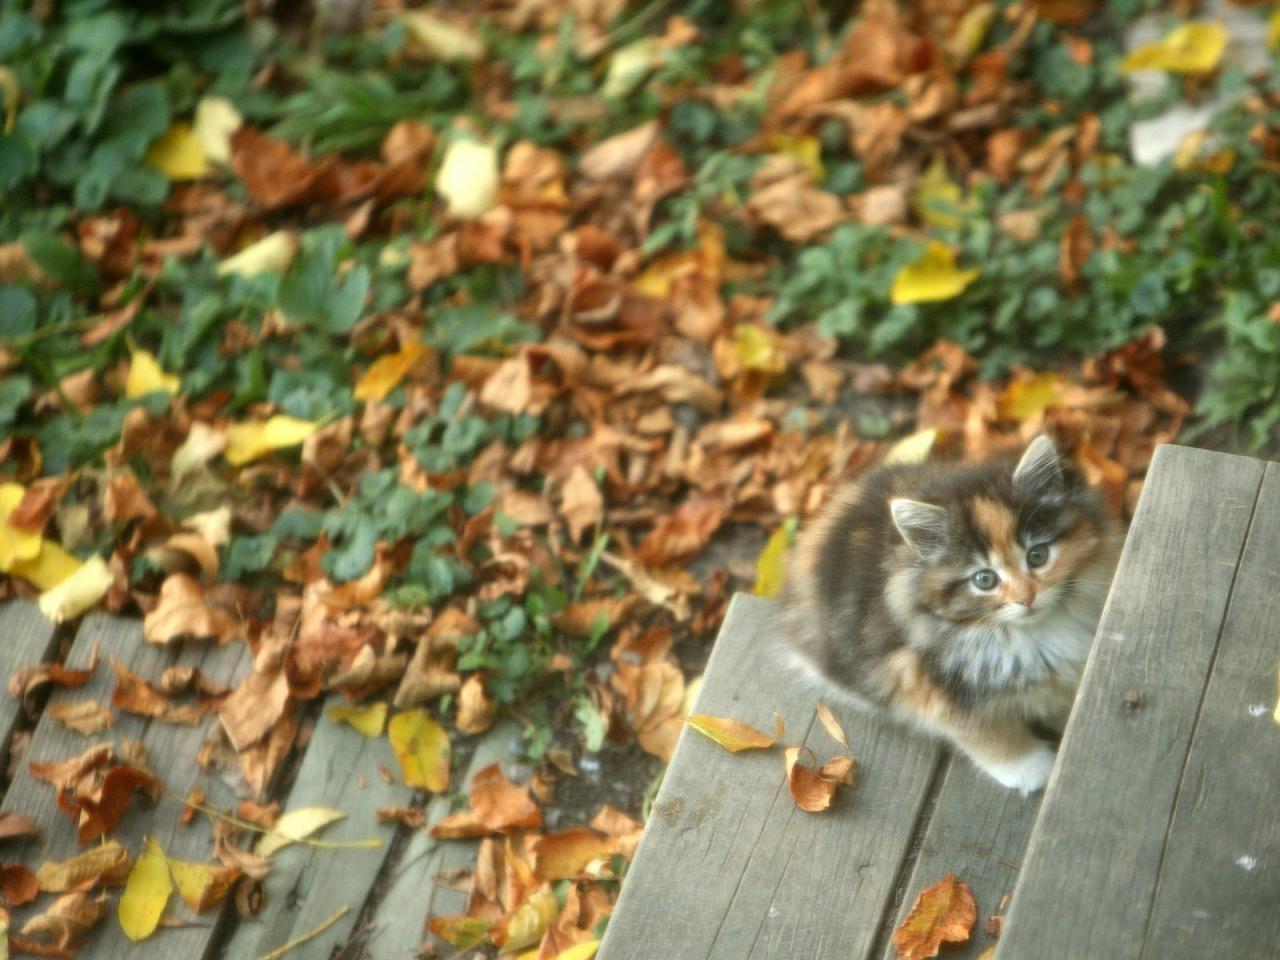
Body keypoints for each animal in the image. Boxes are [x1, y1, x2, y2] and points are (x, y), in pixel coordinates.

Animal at [773, 437, 1116, 798]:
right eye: (984, 579)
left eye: (1038, 556)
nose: (1026, 598)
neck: (1026, 633)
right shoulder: (921, 678)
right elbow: (984, 732)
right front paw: (1031, 769)